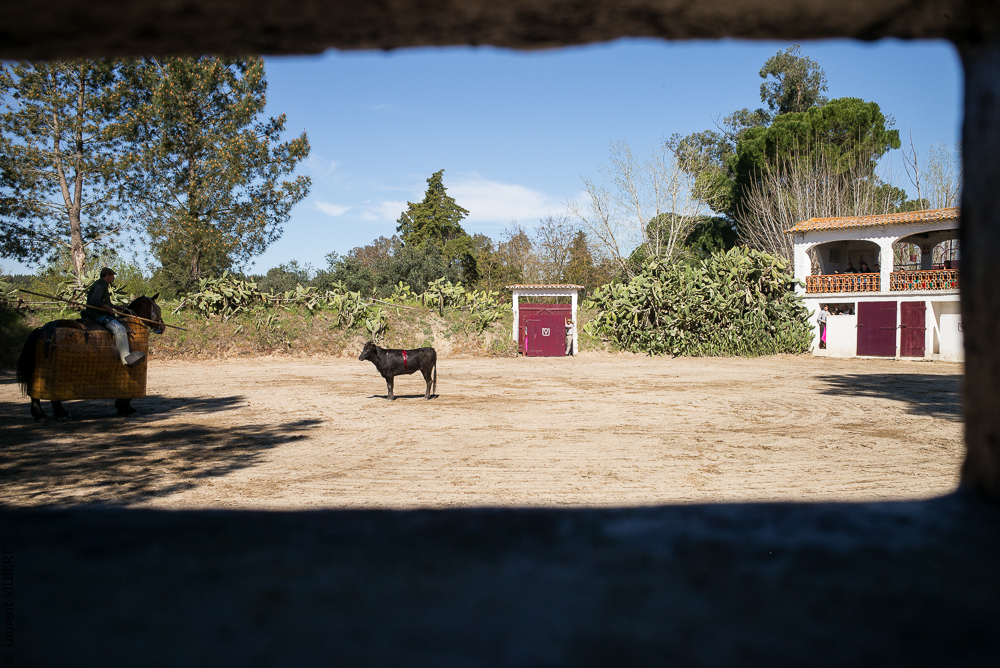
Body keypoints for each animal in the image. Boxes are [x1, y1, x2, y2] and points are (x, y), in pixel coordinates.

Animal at [16, 295, 165, 421]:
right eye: (158, 309)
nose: (163, 326)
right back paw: (61, 414)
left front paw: (122, 407)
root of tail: (42, 329)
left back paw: (39, 414)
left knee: (34, 390)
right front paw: (126, 408)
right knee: (51, 394)